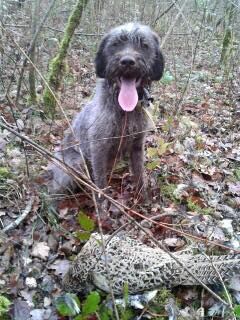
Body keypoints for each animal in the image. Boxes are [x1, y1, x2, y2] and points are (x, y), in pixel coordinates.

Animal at [48, 23, 165, 200]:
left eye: (144, 45)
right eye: (115, 44)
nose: (127, 61)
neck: (124, 110)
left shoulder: (137, 146)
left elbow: (139, 176)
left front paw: (143, 199)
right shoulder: (98, 149)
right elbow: (101, 184)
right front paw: (102, 206)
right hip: (76, 165)